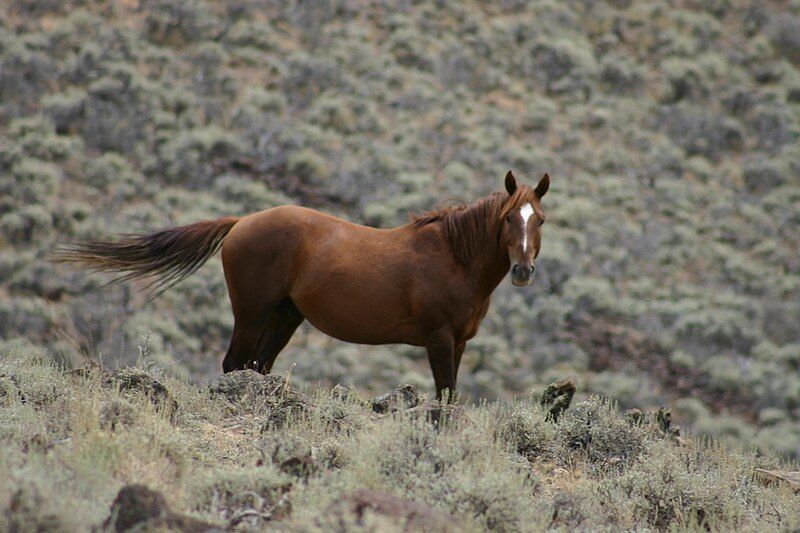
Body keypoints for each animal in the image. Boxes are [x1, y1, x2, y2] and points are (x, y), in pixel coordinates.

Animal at [57, 170, 552, 400]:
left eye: (540, 219)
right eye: (509, 218)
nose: (523, 271)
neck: (452, 256)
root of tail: (242, 222)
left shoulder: (460, 342)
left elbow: (450, 397)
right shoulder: (439, 340)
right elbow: (444, 395)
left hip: (284, 317)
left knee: (255, 367)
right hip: (251, 313)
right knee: (234, 365)